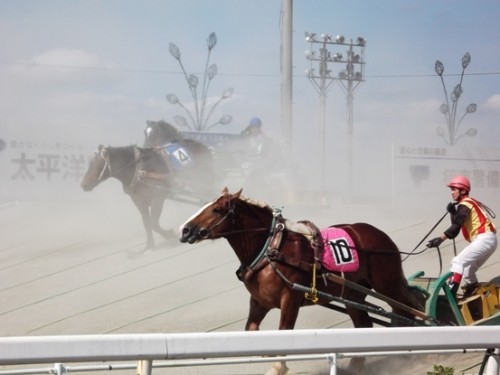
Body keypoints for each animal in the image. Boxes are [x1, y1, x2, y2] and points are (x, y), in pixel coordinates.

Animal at [180, 189, 426, 374]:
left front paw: (278, 366)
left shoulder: (291, 298)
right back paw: (357, 366)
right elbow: (251, 329)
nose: (185, 230)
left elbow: (284, 331)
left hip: (388, 284)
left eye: (216, 209)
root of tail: (380, 235)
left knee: (410, 306)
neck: (271, 249)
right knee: (365, 324)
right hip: (352, 294)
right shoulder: (260, 301)